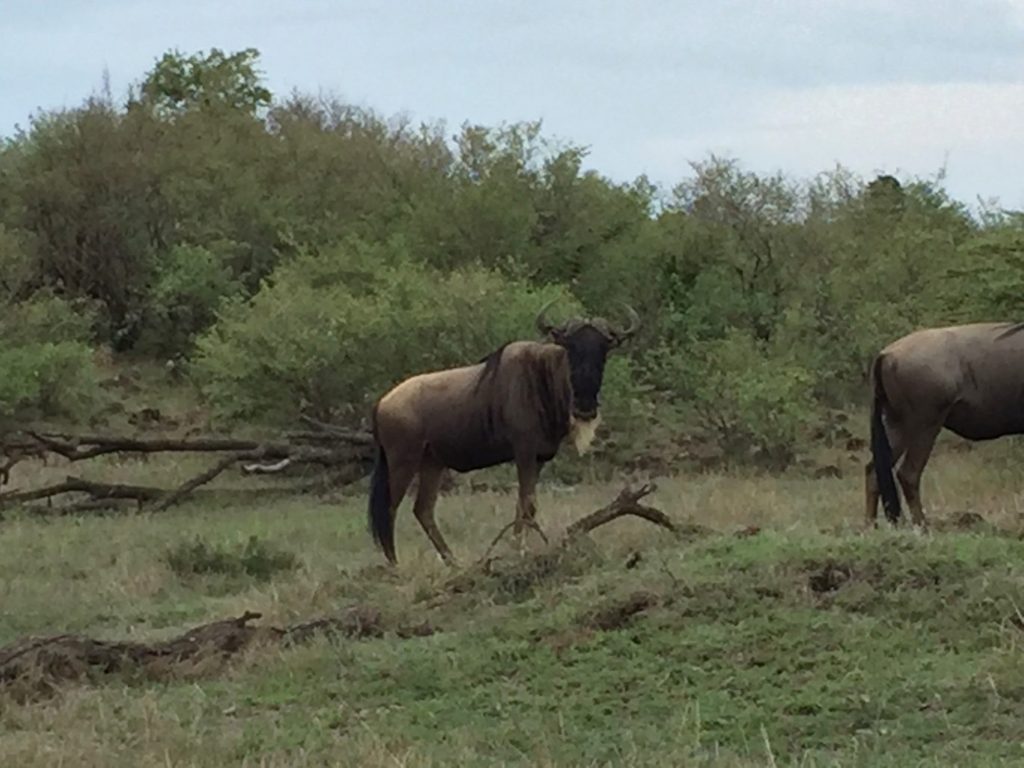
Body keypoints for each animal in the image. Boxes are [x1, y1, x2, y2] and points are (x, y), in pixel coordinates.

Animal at [367, 299, 640, 565]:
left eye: (603, 350)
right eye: (570, 348)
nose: (585, 408)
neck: (543, 378)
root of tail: (382, 404)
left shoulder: (540, 457)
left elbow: (526, 505)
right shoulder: (524, 452)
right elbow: (525, 502)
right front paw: (519, 549)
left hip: (432, 463)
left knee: (423, 509)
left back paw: (453, 562)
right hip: (403, 462)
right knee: (389, 511)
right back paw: (395, 565)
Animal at [867, 322, 1024, 527]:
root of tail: (886, 354)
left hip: (897, 426)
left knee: (874, 471)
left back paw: (869, 526)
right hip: (925, 426)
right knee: (908, 474)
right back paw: (922, 527)